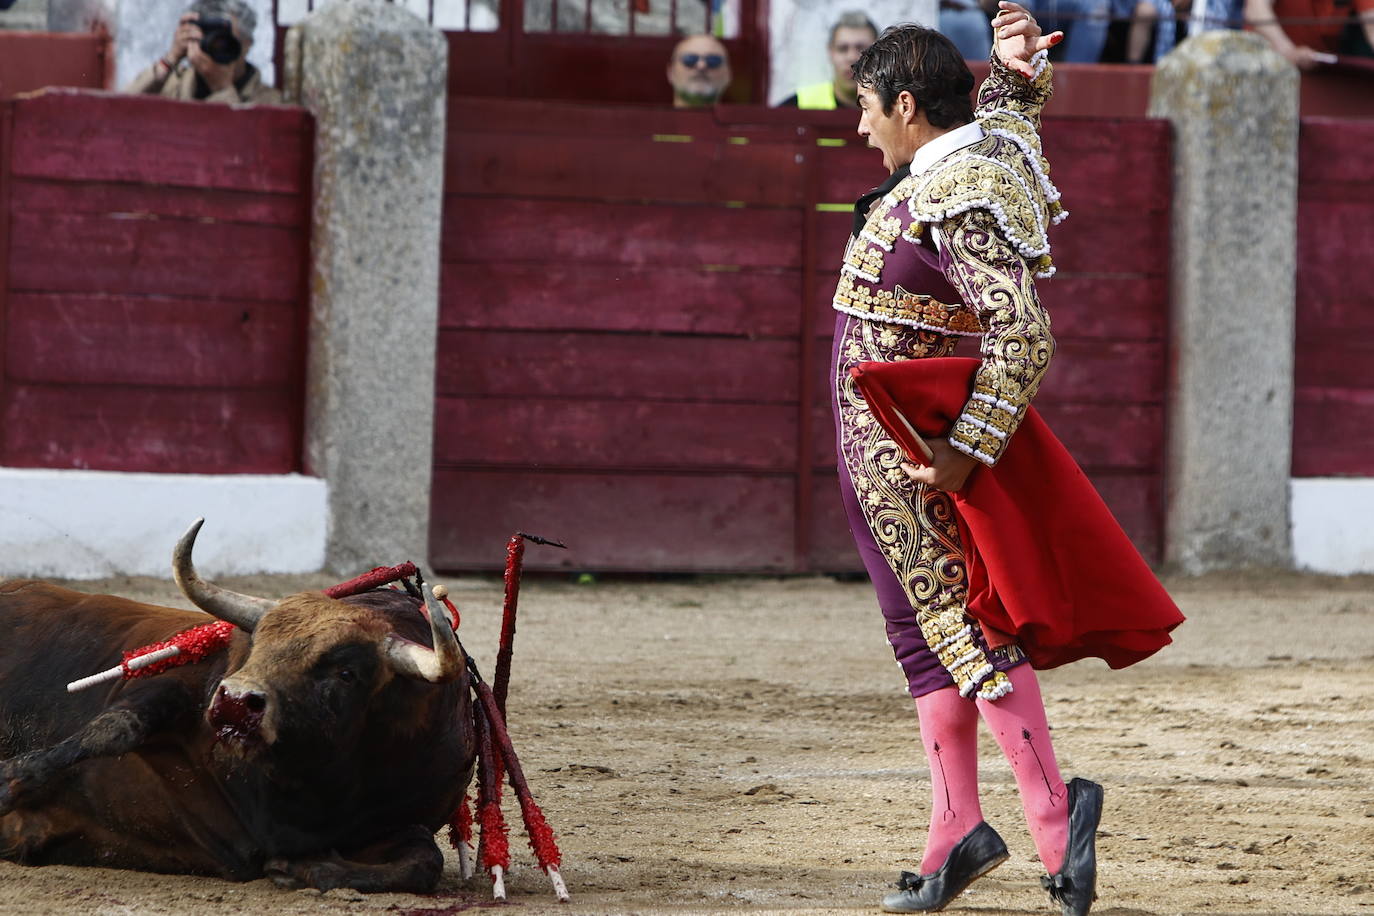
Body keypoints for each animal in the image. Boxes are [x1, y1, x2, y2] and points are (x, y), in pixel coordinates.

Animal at [0, 521, 472, 895]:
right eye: (257, 644)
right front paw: (8, 780)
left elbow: (424, 861)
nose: (236, 702)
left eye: (346, 673)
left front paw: (304, 869)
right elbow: (114, 727)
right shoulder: (173, 687)